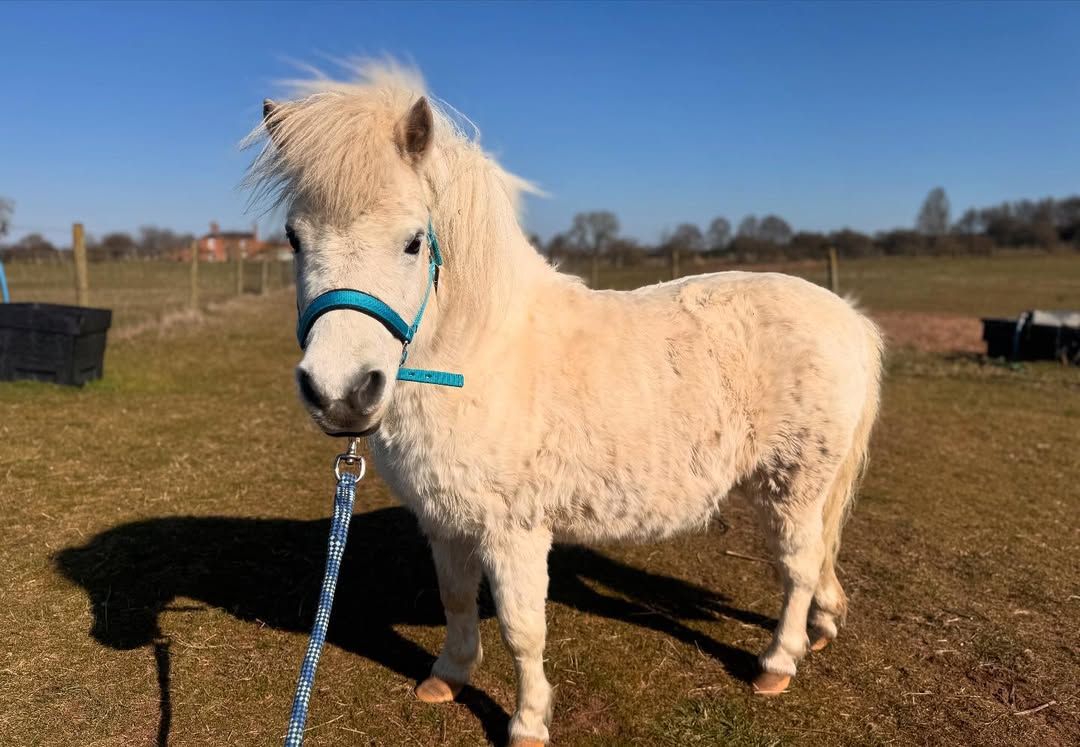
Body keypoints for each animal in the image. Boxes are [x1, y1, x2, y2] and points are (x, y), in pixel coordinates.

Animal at [246, 62, 883, 747]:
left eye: (414, 242)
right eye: (293, 239)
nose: (339, 392)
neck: (481, 357)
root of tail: (848, 317)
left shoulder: (514, 531)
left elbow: (522, 631)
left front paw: (527, 722)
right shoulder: (446, 520)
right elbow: (456, 599)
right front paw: (447, 678)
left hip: (794, 485)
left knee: (798, 567)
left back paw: (778, 662)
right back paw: (821, 627)